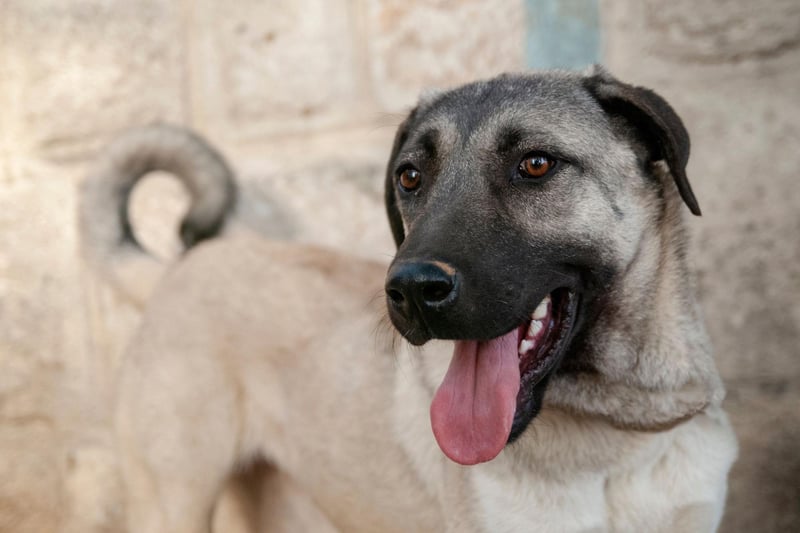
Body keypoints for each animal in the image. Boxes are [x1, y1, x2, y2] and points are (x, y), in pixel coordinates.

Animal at [83, 67, 736, 532]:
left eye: (535, 164)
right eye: (410, 176)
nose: (412, 290)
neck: (616, 431)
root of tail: (178, 269)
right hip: (172, 502)